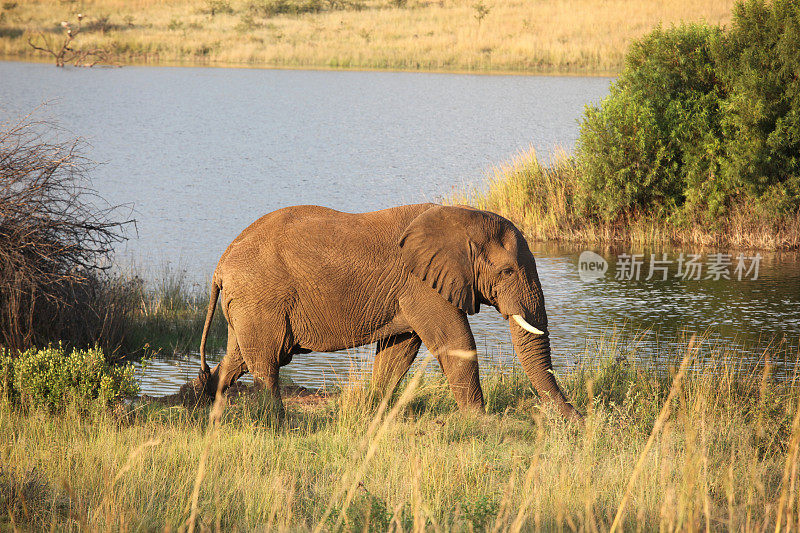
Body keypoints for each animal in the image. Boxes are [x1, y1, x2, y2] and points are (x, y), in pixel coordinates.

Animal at [194, 203, 580, 420]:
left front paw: (373, 414)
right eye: (508, 272)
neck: (462, 217)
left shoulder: (409, 291)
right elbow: (455, 343)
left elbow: (398, 352)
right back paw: (276, 421)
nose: (577, 418)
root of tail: (220, 266)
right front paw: (481, 422)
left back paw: (207, 408)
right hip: (260, 298)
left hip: (247, 303)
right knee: (267, 360)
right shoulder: (422, 285)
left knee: (237, 358)